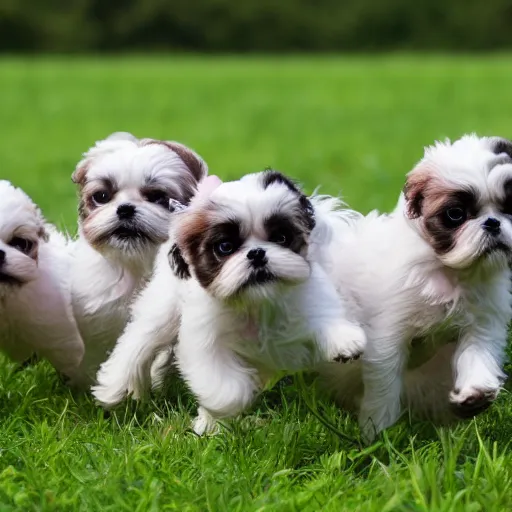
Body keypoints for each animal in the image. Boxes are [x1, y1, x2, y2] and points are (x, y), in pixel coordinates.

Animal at [94, 171, 366, 432]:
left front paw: (344, 341)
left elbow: (324, 317)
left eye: (281, 237)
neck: (257, 304)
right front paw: (214, 419)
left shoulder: (308, 297)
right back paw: (114, 388)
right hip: (163, 308)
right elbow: (227, 390)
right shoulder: (206, 342)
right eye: (225, 247)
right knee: (139, 341)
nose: (256, 253)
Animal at [318, 134, 512, 442]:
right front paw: (377, 432)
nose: (493, 222)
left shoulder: (483, 321)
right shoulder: (388, 333)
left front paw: (475, 393)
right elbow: (385, 381)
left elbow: (477, 353)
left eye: (509, 207)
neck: (451, 272)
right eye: (455, 214)